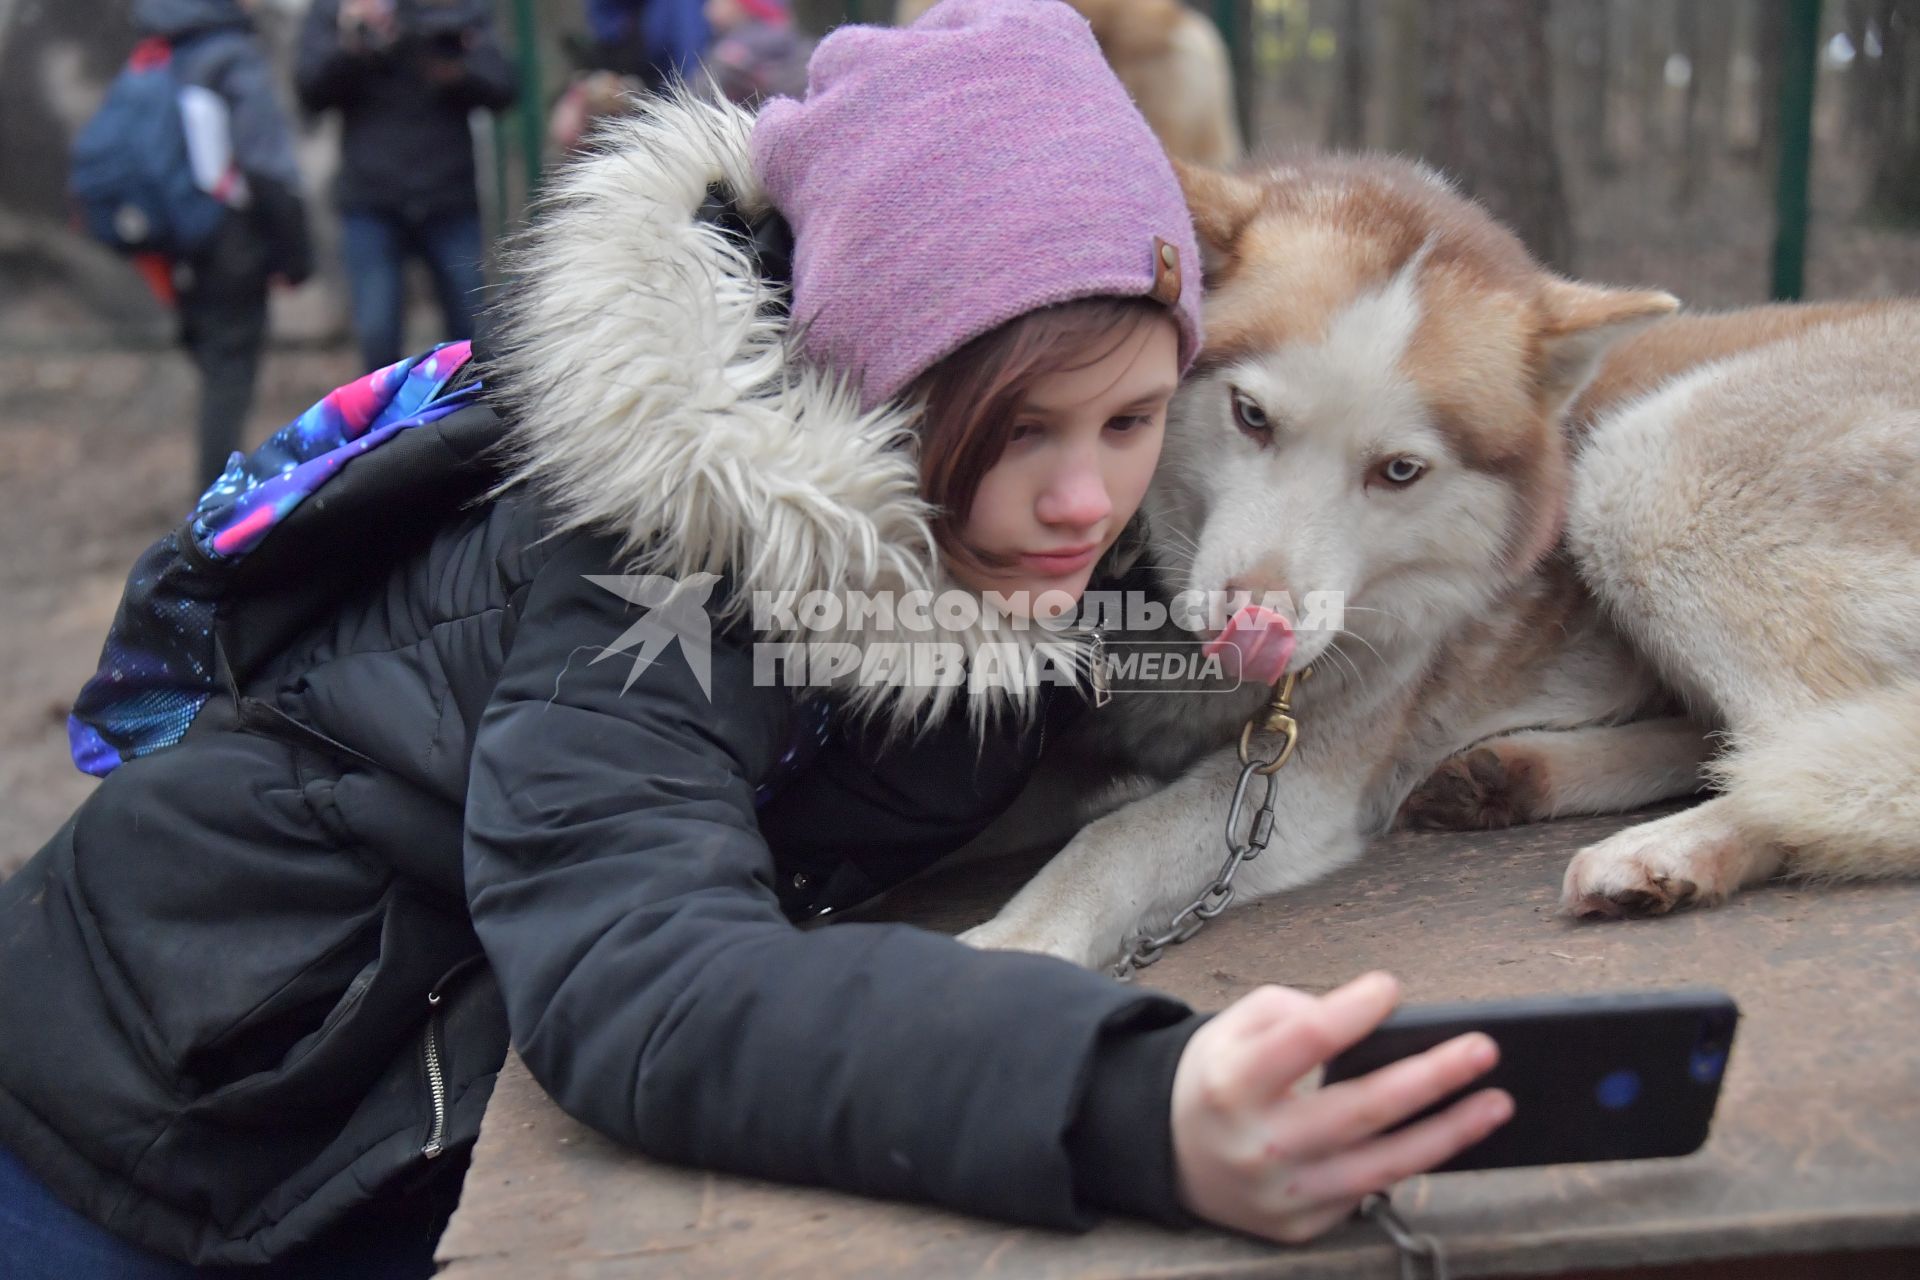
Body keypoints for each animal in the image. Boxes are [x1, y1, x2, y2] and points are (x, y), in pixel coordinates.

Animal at [960, 155, 1920, 967]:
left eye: (1398, 471)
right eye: (1251, 415)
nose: (1256, 628)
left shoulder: (1294, 788)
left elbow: (1113, 839)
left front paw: (1014, 946)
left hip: (1638, 473)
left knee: (1835, 754)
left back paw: (1667, 849)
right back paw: (1515, 778)